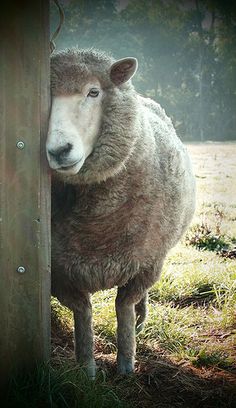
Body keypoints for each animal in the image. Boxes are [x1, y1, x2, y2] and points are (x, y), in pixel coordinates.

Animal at [47, 48, 196, 380]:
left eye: (93, 92)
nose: (58, 151)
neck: (97, 228)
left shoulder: (146, 262)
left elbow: (123, 307)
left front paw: (127, 365)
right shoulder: (60, 272)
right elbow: (83, 312)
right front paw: (87, 369)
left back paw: (142, 319)